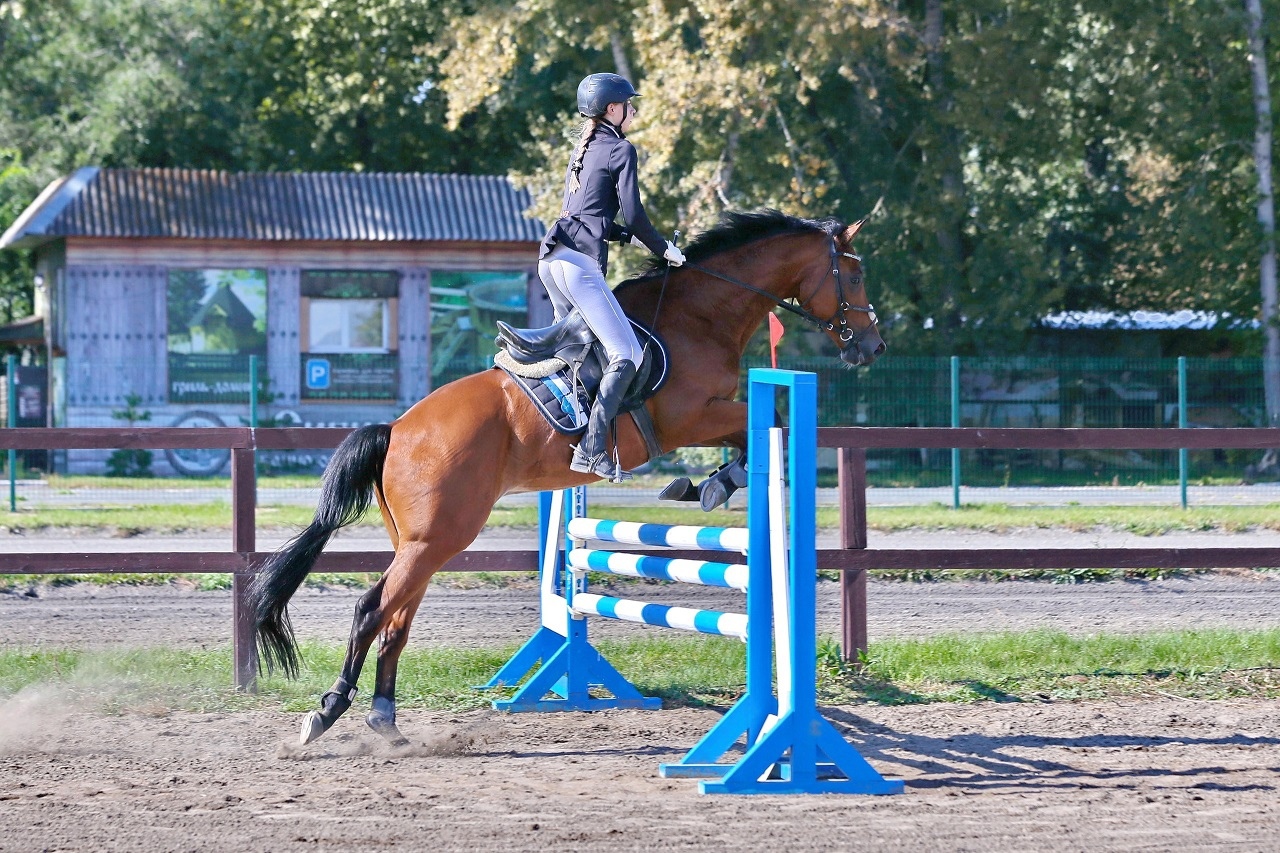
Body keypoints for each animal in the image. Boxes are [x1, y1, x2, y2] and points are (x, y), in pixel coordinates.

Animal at [250, 207, 890, 742]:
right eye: (856, 277)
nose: (874, 346)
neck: (701, 313)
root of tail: (398, 431)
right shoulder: (694, 417)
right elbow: (768, 421)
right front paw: (709, 484)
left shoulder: (707, 418)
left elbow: (753, 437)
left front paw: (702, 484)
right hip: (438, 537)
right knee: (372, 610)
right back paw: (329, 711)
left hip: (420, 543)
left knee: (396, 620)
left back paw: (385, 720)